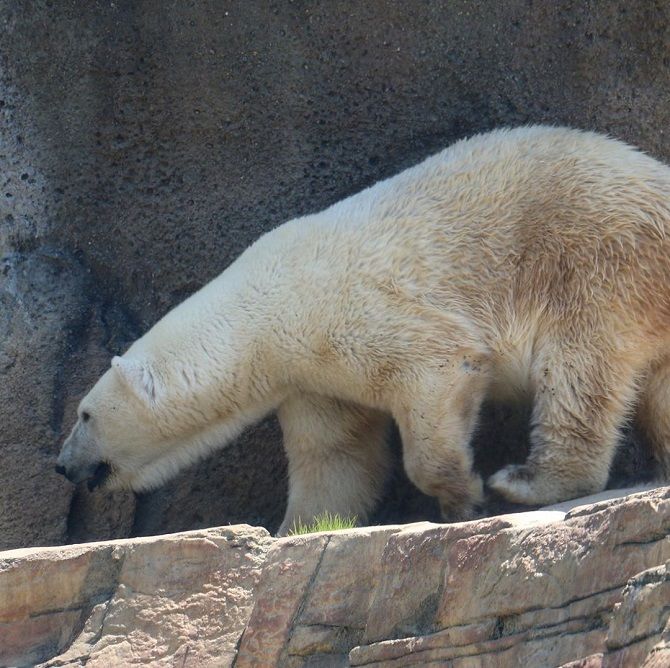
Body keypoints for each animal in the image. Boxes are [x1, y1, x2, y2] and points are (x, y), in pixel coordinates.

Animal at [56, 125, 670, 536]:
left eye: (84, 415)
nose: (61, 464)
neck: (263, 306)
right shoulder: (308, 378)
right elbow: (335, 454)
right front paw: (296, 529)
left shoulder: (348, 313)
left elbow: (438, 369)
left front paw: (462, 497)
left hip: (594, 256)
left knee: (579, 370)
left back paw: (527, 479)